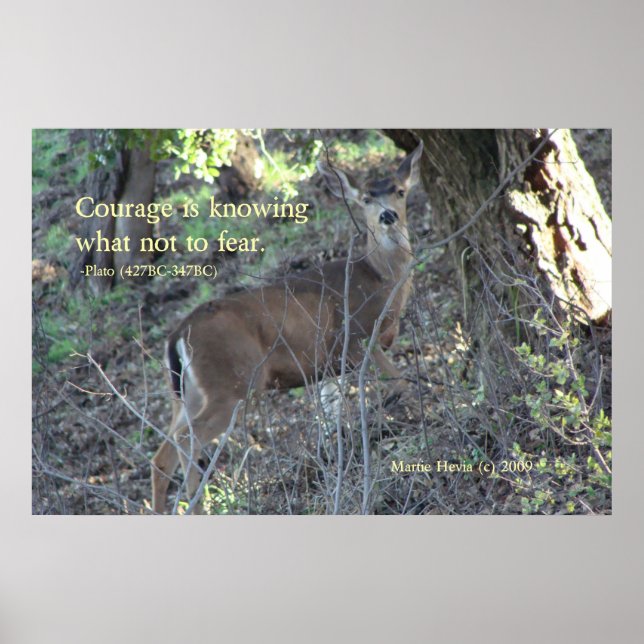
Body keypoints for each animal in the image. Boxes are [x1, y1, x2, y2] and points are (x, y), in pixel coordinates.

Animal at [151, 140, 424, 513]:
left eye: (399, 190)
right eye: (366, 197)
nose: (387, 216)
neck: (380, 279)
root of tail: (178, 335)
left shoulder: (328, 365)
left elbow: (331, 415)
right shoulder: (353, 335)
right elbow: (399, 382)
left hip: (185, 393)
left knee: (161, 454)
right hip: (231, 382)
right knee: (187, 439)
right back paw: (198, 502)